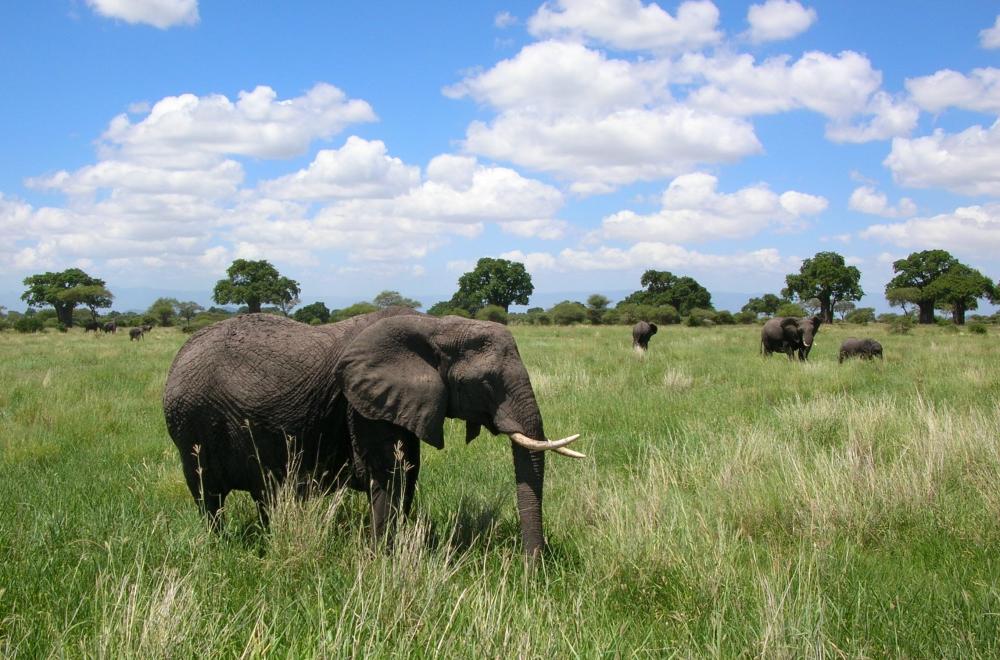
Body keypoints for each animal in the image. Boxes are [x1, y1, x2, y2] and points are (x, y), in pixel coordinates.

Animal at [163, 306, 584, 556]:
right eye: (485, 384)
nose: (533, 570)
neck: (434, 326)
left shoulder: (398, 403)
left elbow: (408, 472)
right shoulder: (361, 404)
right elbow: (389, 474)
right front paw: (384, 558)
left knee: (264, 494)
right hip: (190, 425)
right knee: (207, 494)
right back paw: (220, 547)